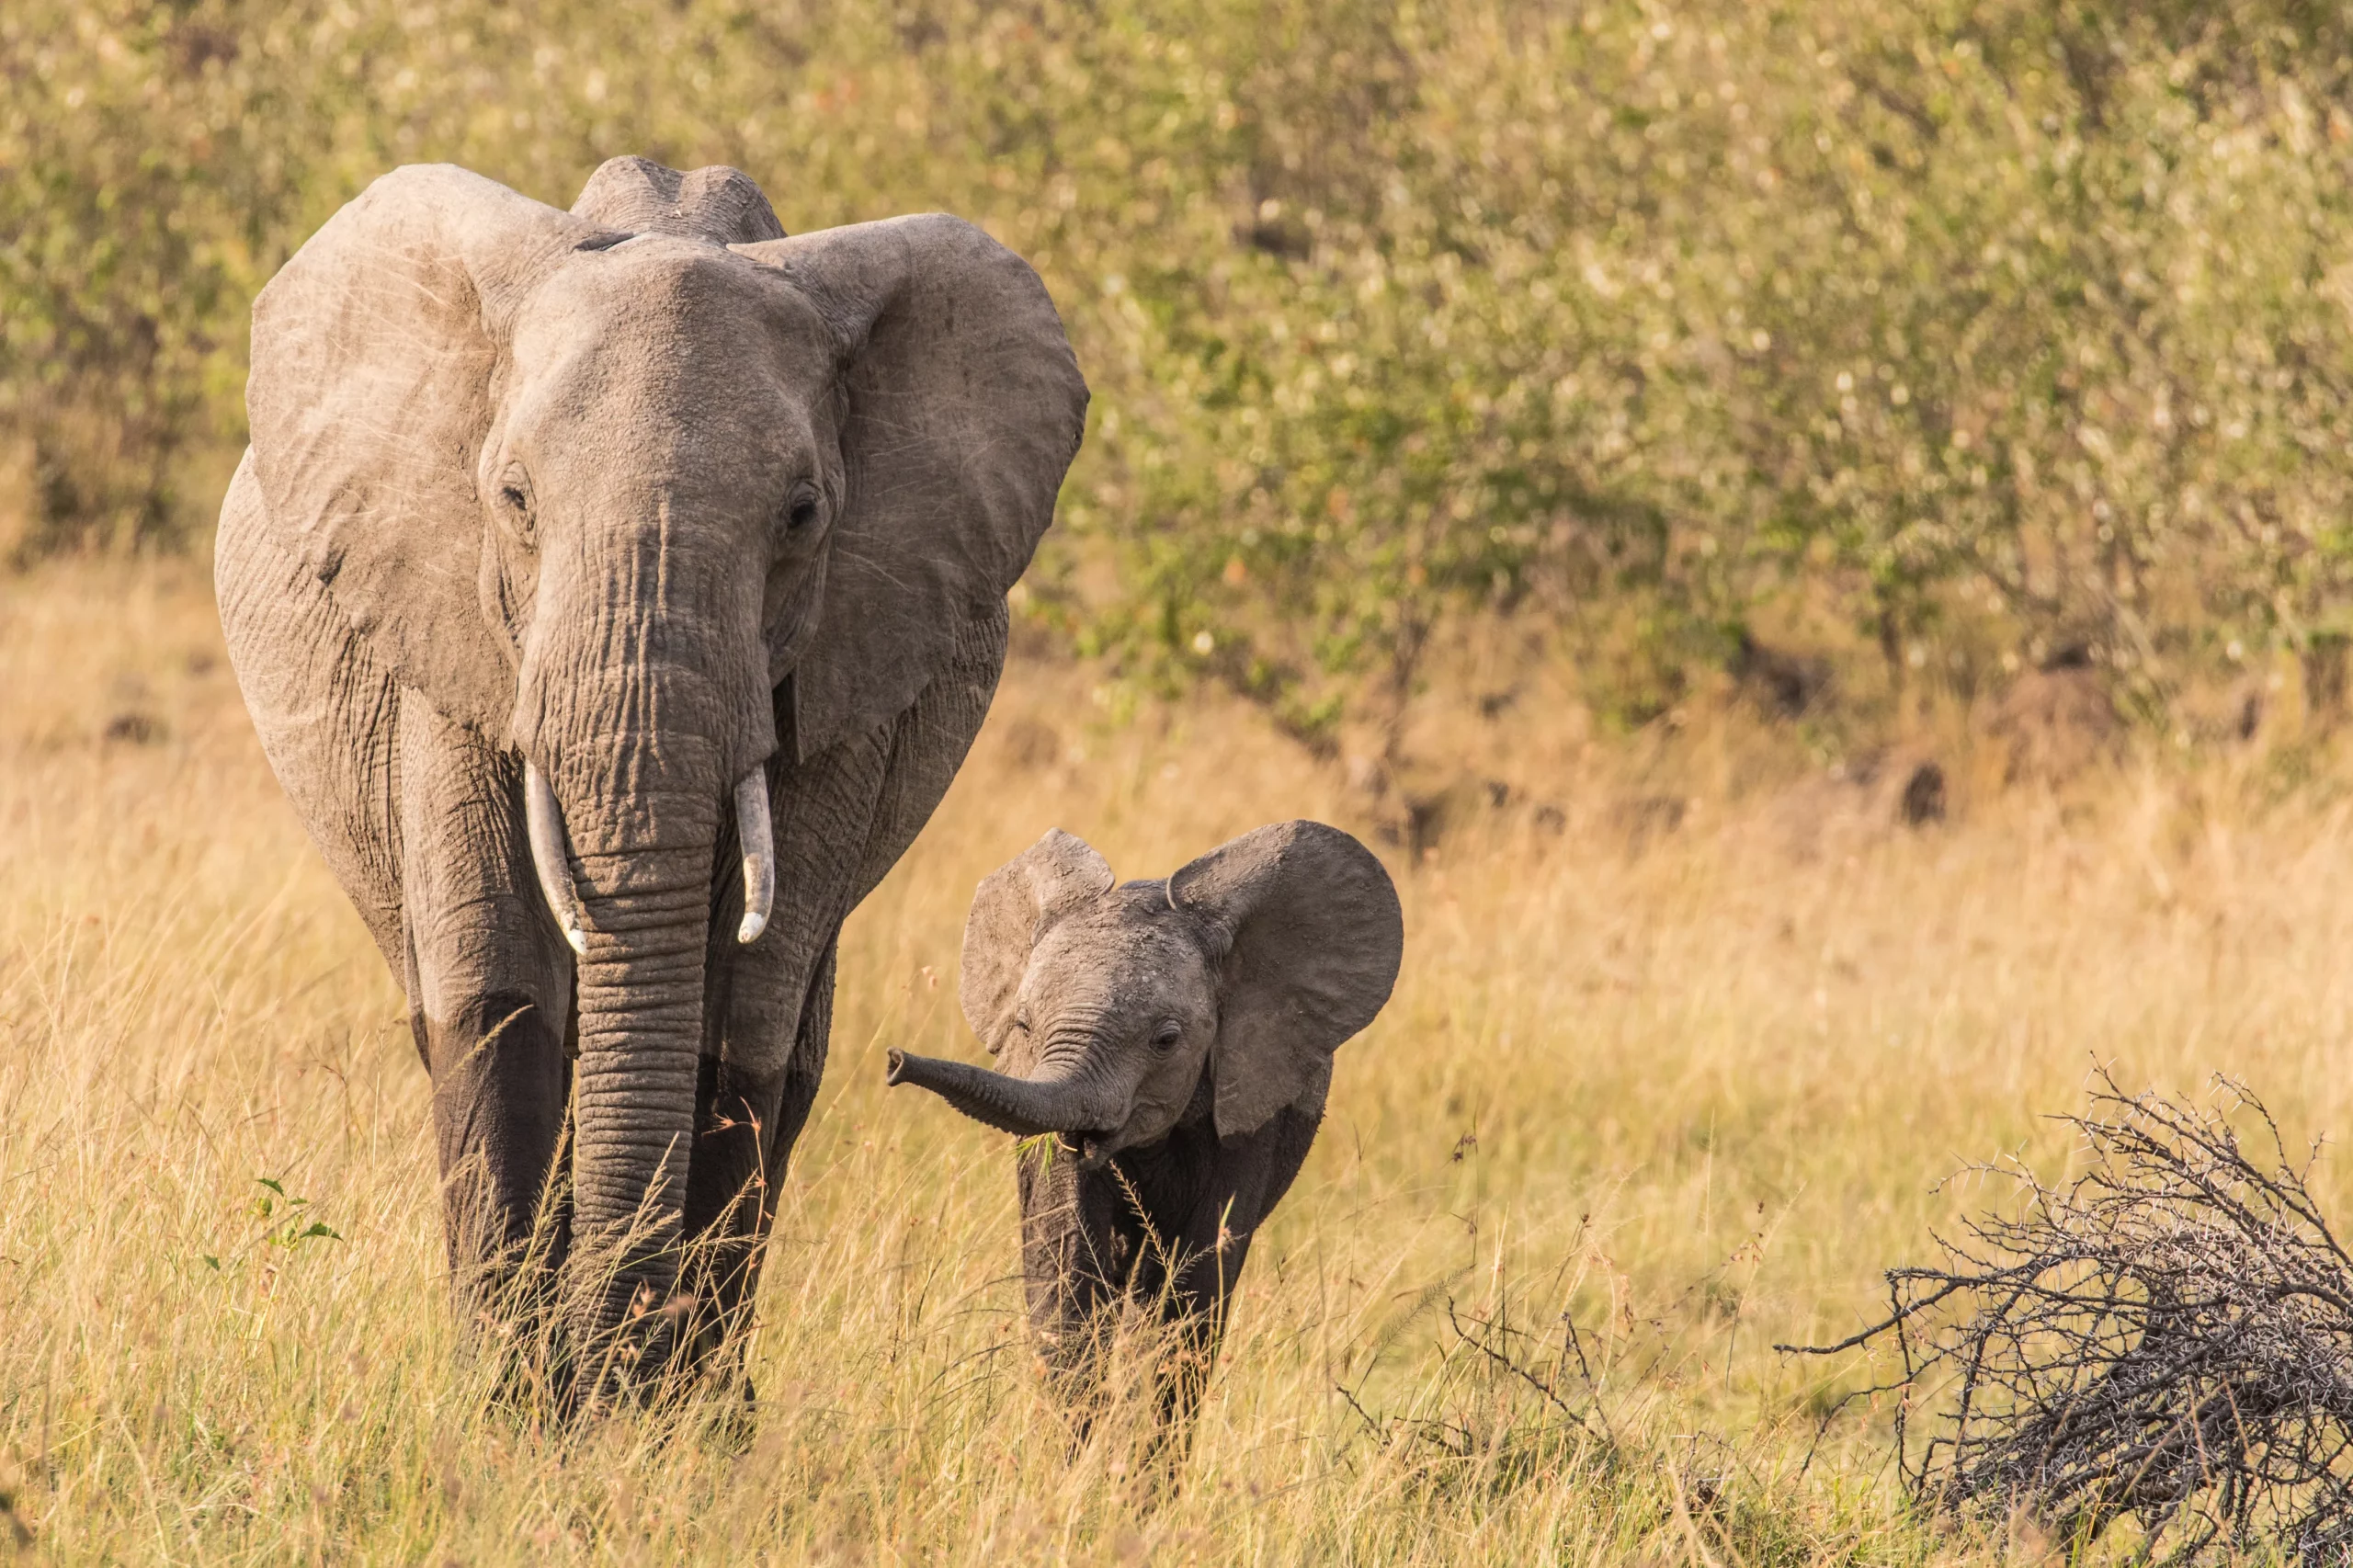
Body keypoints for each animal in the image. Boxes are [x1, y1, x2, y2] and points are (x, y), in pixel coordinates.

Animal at [221, 158, 1082, 1393]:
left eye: (803, 514)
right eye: (514, 499)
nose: (604, 1364)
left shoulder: (854, 657)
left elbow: (741, 1020)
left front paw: (669, 1412)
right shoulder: (448, 624)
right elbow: (498, 996)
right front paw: (516, 1404)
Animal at [884, 819, 1392, 1440]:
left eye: (1166, 1040)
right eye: (1023, 1026)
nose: (894, 1062)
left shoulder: (1251, 1106)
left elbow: (1196, 1289)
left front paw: (1142, 1464)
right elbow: (1066, 1268)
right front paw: (1078, 1456)